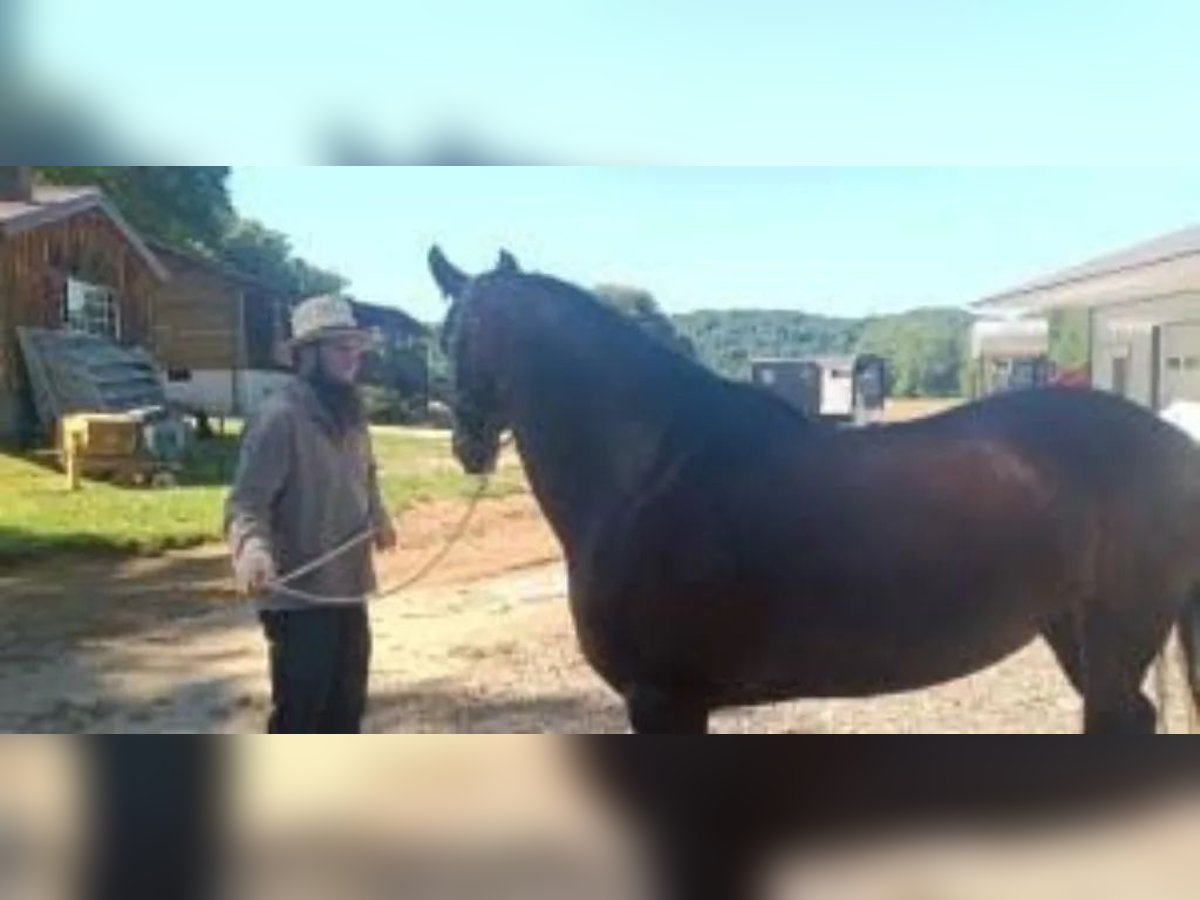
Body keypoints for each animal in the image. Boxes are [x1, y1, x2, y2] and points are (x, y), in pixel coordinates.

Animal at [429, 244, 1200, 734]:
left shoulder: (665, 701)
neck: (647, 472)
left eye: (453, 338)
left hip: (1119, 630)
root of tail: (1171, 441)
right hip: (1072, 629)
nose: (466, 444)